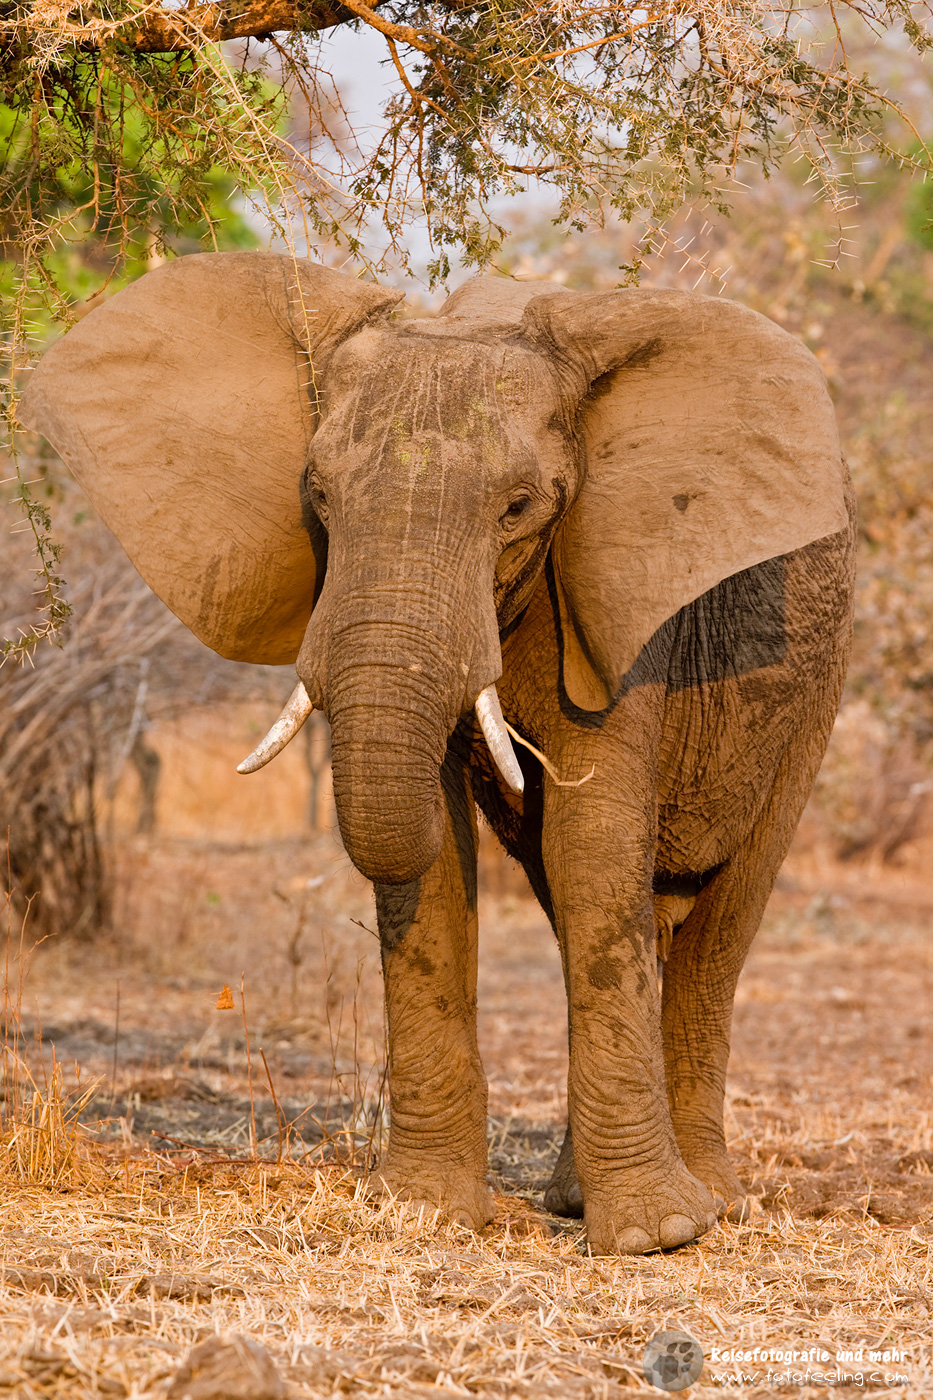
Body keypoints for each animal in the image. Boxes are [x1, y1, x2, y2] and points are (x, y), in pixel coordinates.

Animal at [20, 252, 855, 1254]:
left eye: (519, 507)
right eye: (319, 497)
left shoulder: (623, 598)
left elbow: (592, 844)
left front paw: (651, 1239)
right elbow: (447, 857)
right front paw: (423, 1212)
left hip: (815, 685)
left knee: (720, 916)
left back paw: (711, 1204)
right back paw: (580, 1197)